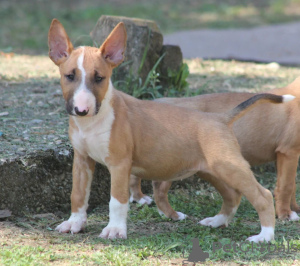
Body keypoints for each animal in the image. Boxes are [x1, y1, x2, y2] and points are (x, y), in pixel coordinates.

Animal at [131, 77, 300, 222]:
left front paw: (294, 209)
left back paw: (139, 198)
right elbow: (287, 186)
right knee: (159, 187)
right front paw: (286, 214)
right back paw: (169, 213)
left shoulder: (286, 156)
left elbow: (290, 185)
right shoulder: (289, 152)